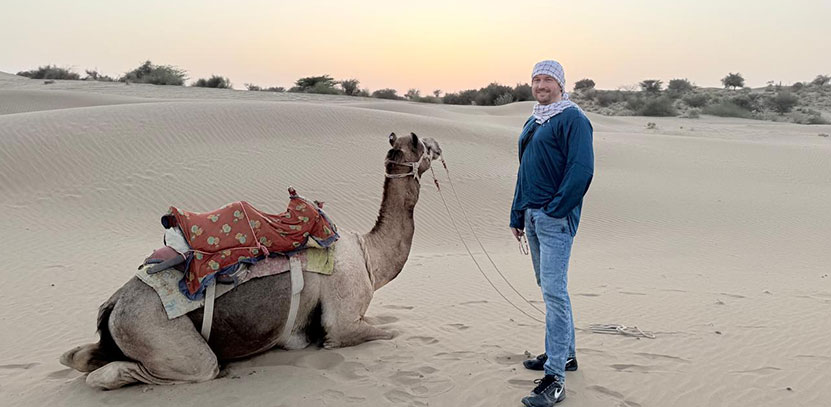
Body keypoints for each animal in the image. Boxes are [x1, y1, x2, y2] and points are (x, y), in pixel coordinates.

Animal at [60, 132, 442, 389]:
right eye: (421, 144)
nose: (438, 146)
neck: (368, 255)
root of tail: (113, 306)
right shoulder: (342, 323)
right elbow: (389, 332)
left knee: (76, 356)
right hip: (164, 338)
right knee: (130, 371)